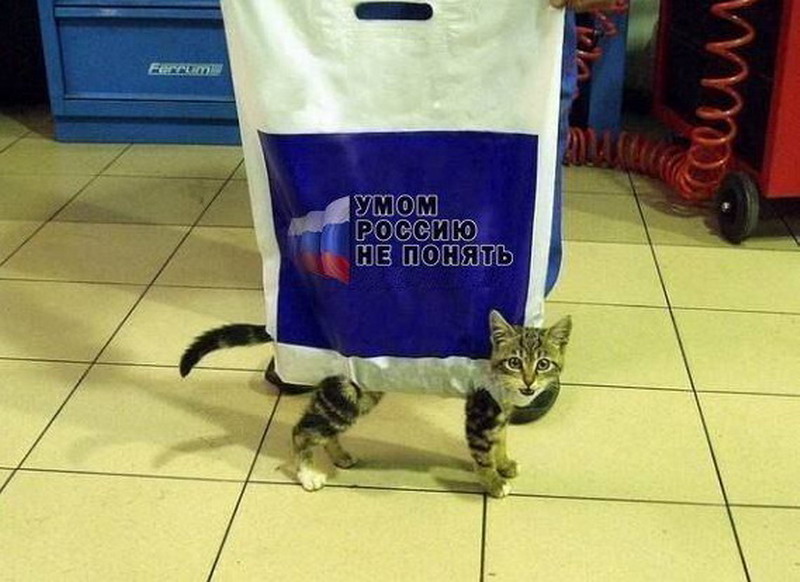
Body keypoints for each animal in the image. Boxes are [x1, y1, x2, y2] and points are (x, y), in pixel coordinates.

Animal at [180, 311, 571, 498]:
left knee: (321, 427)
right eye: (515, 362)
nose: (529, 384)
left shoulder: (500, 412)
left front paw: (505, 462)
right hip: (348, 396)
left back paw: (339, 455)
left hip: (356, 394)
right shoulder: (480, 413)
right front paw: (493, 482)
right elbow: (482, 453)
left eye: (543, 364)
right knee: (302, 430)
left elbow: (501, 439)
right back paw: (308, 474)